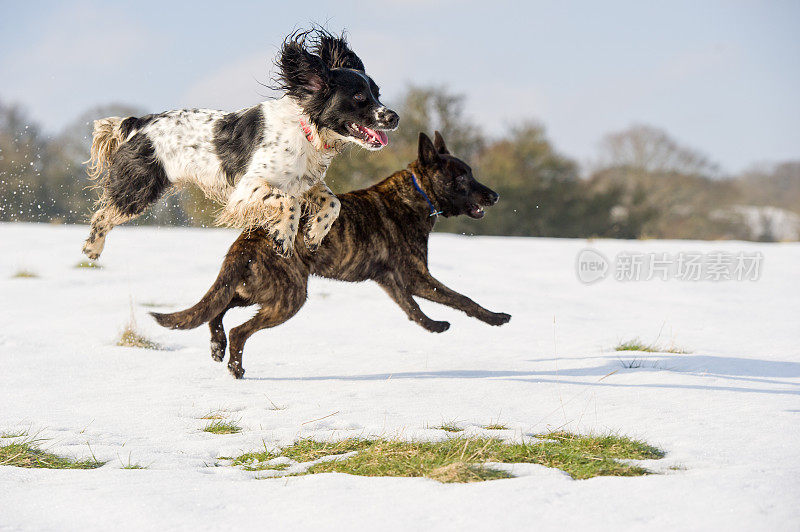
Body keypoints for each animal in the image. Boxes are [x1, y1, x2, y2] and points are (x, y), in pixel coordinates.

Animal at [83, 29, 398, 260]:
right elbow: (290, 202)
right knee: (101, 215)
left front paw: (313, 235)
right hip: (138, 189)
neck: (304, 128)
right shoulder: (248, 188)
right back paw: (92, 249)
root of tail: (137, 123)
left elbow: (333, 203)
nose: (394, 117)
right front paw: (284, 237)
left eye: (378, 94)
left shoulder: (304, 182)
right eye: (359, 97)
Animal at [153, 132, 510, 378]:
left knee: (216, 310)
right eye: (462, 177)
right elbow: (462, 299)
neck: (418, 194)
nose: (495, 195)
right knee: (239, 329)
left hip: (257, 289)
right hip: (288, 297)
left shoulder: (392, 280)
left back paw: (217, 346)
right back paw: (235, 367)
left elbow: (412, 309)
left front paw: (434, 326)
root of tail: (247, 238)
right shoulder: (416, 276)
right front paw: (495, 318)